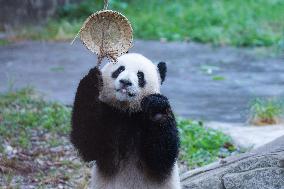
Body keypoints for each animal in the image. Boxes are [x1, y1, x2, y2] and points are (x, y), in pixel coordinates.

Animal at [70, 52, 180, 189]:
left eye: (140, 75)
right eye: (120, 69)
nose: (125, 82)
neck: (126, 111)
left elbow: (161, 158)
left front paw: (156, 108)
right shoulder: (109, 115)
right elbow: (90, 143)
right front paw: (92, 81)